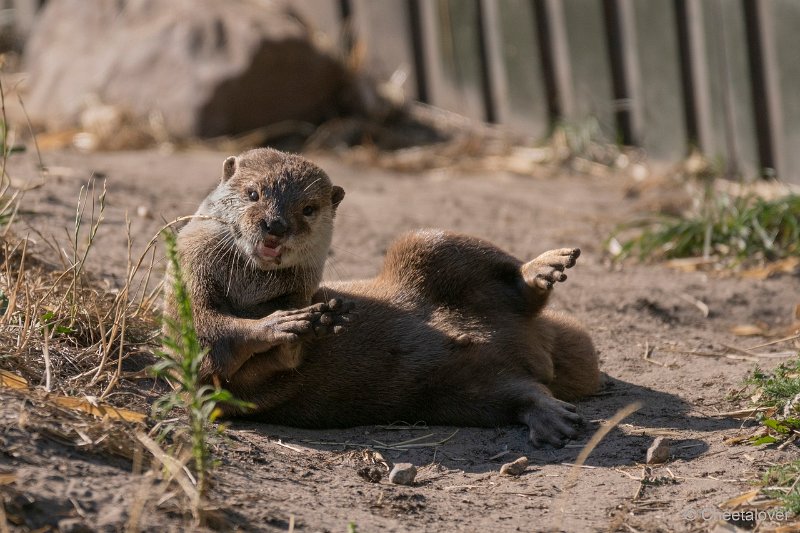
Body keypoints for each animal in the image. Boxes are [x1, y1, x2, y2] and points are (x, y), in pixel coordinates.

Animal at [164, 148, 600, 446]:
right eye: (253, 193)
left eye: (308, 208)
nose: (276, 225)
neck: (249, 291)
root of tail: (538, 342)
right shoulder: (188, 286)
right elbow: (210, 338)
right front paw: (291, 322)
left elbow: (282, 354)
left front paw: (306, 319)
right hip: (465, 395)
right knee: (520, 391)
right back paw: (553, 417)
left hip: (427, 242)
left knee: (513, 290)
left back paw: (543, 270)